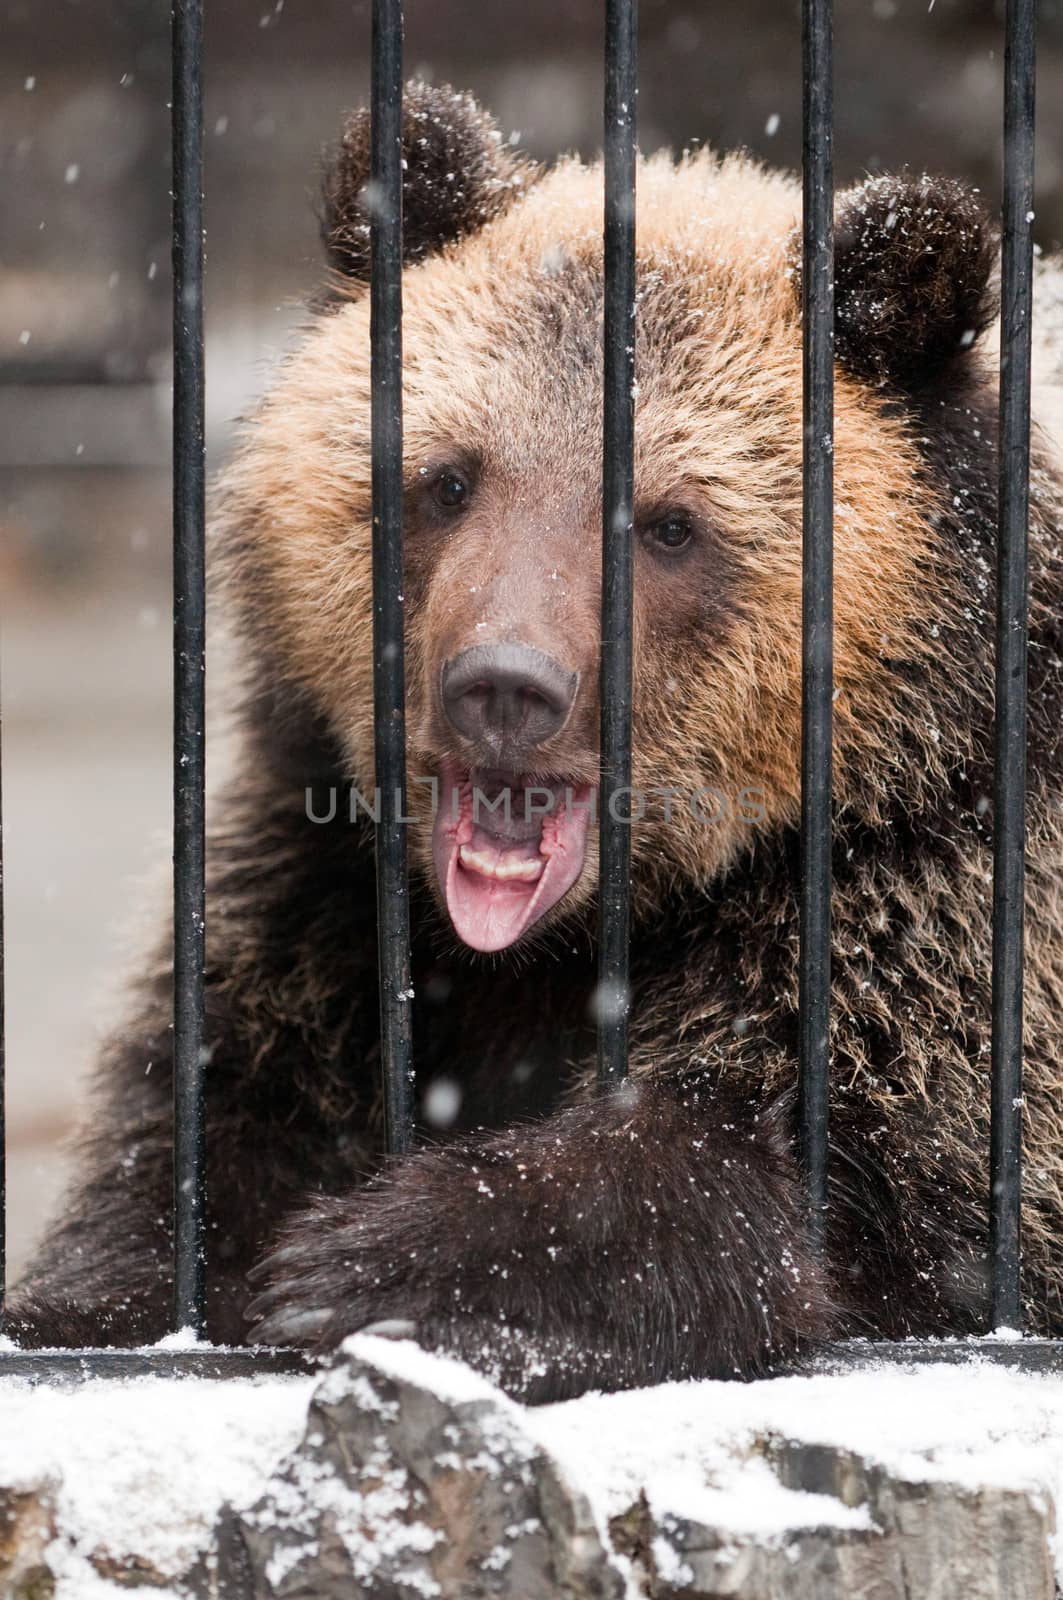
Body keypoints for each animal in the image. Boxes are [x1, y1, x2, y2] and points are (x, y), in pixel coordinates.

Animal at [8, 81, 1063, 1401]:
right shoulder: (316, 880)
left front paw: (379, 1260)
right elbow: (193, 1133)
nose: (504, 685)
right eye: (448, 477)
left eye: (670, 522)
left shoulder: (936, 893)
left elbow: (849, 1172)